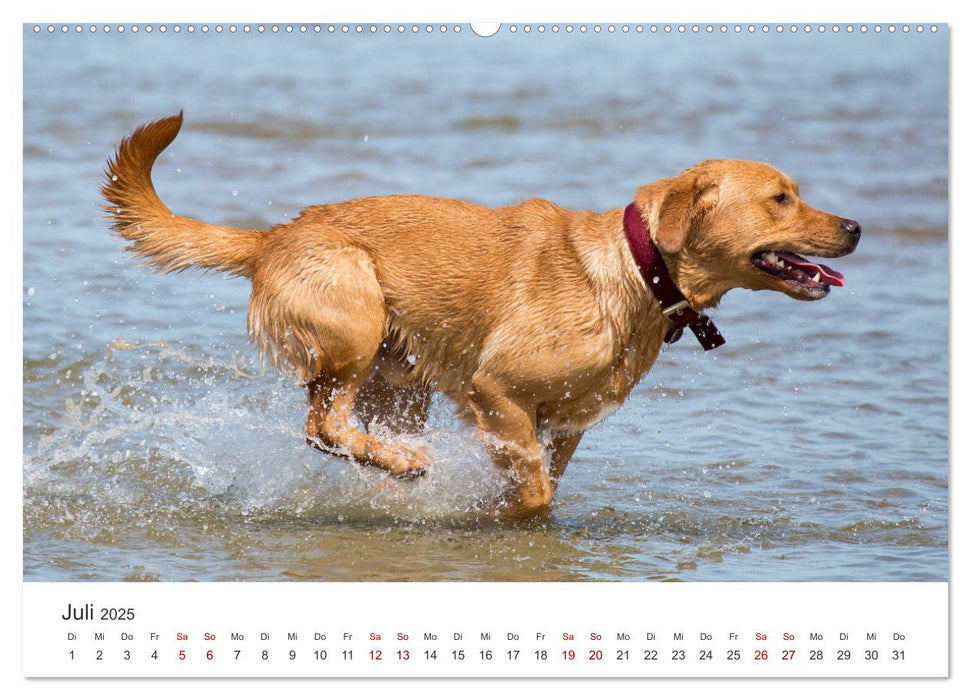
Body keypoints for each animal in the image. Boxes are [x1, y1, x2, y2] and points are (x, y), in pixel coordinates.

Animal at [100, 112, 860, 516]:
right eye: (781, 198)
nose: (854, 226)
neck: (637, 273)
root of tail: (270, 238)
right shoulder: (495, 390)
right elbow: (533, 490)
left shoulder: (565, 422)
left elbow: (541, 477)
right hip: (356, 315)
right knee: (321, 425)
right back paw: (401, 464)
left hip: (397, 380)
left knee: (339, 428)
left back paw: (391, 467)